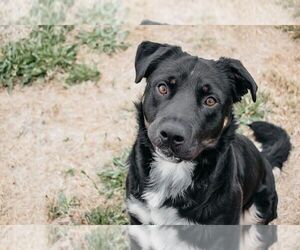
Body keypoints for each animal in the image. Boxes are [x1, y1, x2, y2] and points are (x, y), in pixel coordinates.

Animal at [125, 41, 292, 225]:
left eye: (210, 101)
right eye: (162, 88)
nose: (171, 134)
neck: (172, 171)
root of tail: (265, 159)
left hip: (259, 209)